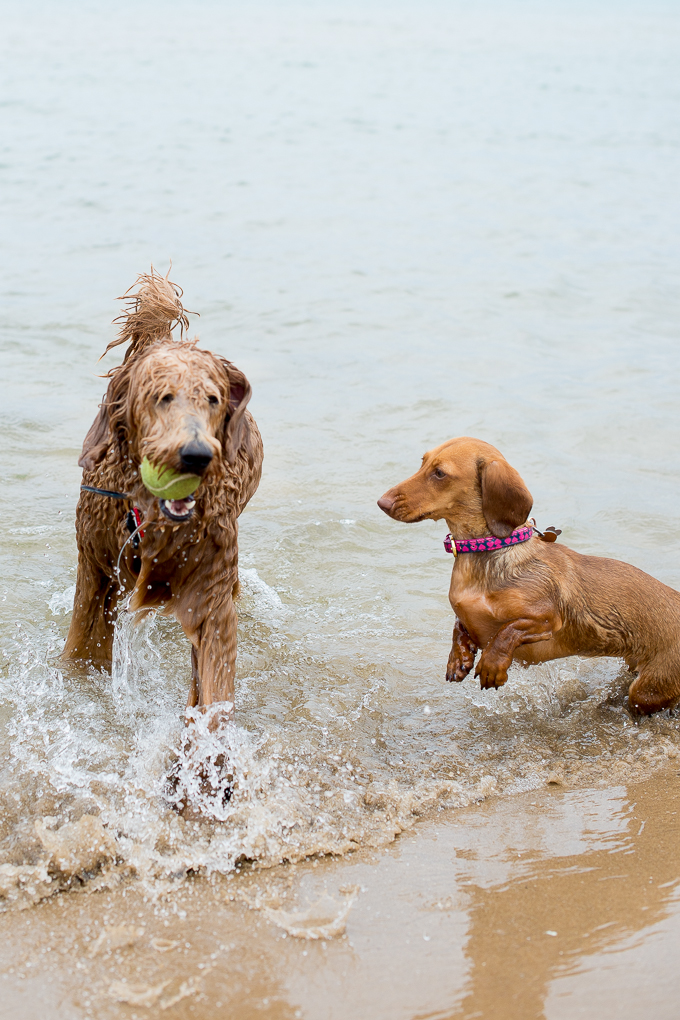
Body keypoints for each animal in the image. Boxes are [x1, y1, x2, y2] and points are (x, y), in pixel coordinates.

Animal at [63, 267, 263, 722]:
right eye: (162, 397)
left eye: (213, 399)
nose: (196, 455)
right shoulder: (95, 569)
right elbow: (80, 647)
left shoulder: (210, 594)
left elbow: (213, 694)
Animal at [381, 434, 680, 714]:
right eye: (423, 462)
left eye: (440, 473)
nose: (381, 502)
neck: (490, 551)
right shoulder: (466, 615)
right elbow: (459, 626)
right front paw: (459, 657)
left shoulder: (546, 619)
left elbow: (508, 630)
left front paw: (492, 664)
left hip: (646, 691)